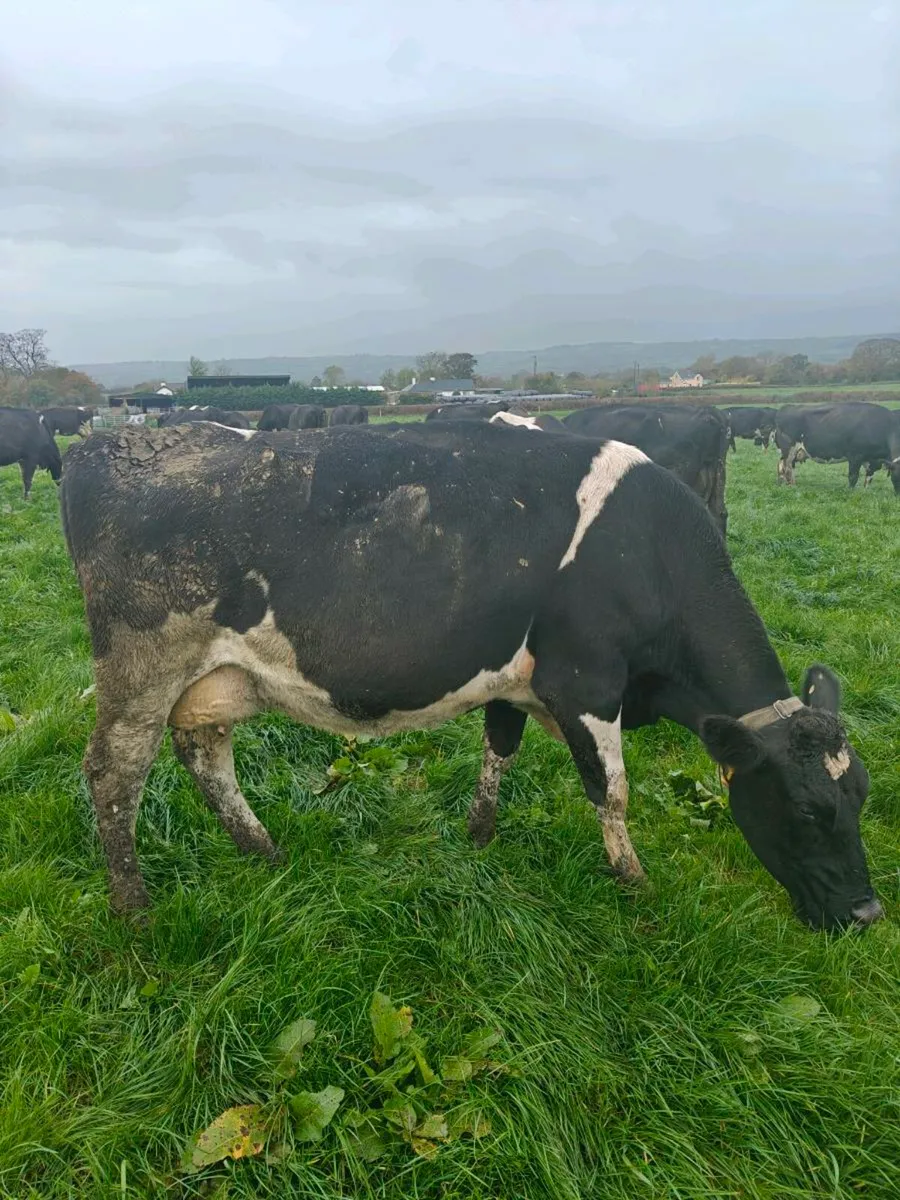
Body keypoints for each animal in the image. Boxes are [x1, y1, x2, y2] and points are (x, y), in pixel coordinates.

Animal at [60, 421, 881, 932]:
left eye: (861, 796)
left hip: (212, 678)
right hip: (142, 668)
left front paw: (480, 834)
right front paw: (634, 880)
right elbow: (611, 789)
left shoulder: (517, 679)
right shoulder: (586, 681)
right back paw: (134, 905)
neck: (650, 552)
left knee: (205, 756)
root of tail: (110, 443)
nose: (868, 914)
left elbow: (500, 747)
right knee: (114, 772)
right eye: (807, 809)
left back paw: (263, 851)